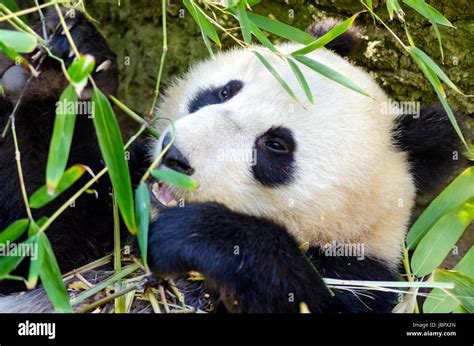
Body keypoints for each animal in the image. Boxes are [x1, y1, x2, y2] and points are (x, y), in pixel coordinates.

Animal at [0, 9, 462, 312]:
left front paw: (196, 234)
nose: (175, 154)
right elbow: (38, 235)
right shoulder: (115, 213)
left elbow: (302, 295)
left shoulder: (364, 279)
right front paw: (62, 66)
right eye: (224, 91)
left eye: (276, 146)